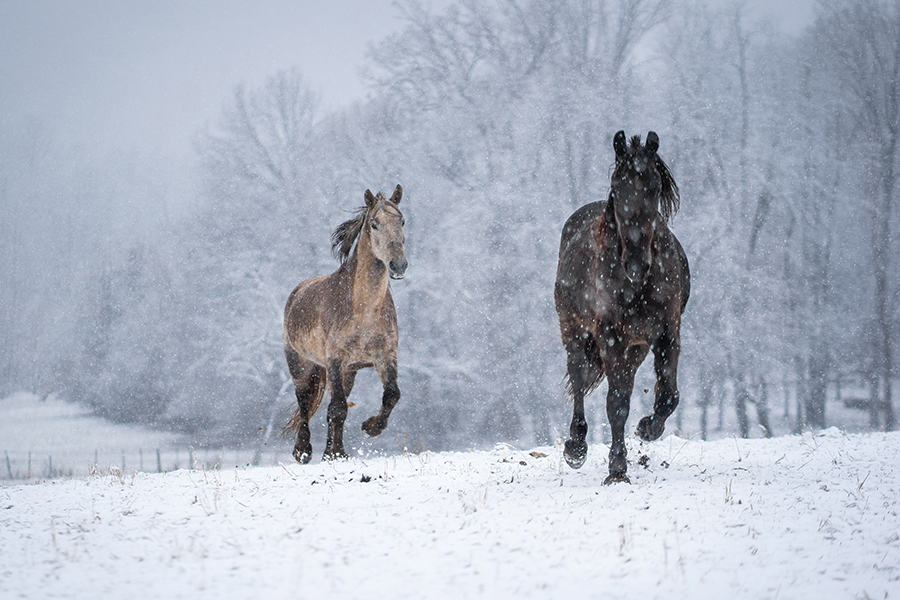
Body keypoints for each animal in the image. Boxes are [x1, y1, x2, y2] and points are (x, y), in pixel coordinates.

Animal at [283, 185, 407, 463]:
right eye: (374, 224)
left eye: (402, 221)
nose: (398, 265)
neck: (364, 311)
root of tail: (296, 293)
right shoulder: (335, 359)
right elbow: (337, 408)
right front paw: (336, 453)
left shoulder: (385, 356)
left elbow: (391, 395)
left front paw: (369, 428)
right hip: (300, 366)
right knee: (305, 403)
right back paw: (303, 451)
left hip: (347, 373)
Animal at [554, 131, 690, 484]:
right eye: (617, 186)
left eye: (654, 187)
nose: (636, 265)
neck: (637, 286)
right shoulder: (610, 336)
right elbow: (615, 404)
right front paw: (617, 470)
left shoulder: (667, 332)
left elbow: (668, 395)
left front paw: (647, 428)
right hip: (574, 330)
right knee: (578, 375)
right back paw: (576, 447)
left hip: (636, 347)